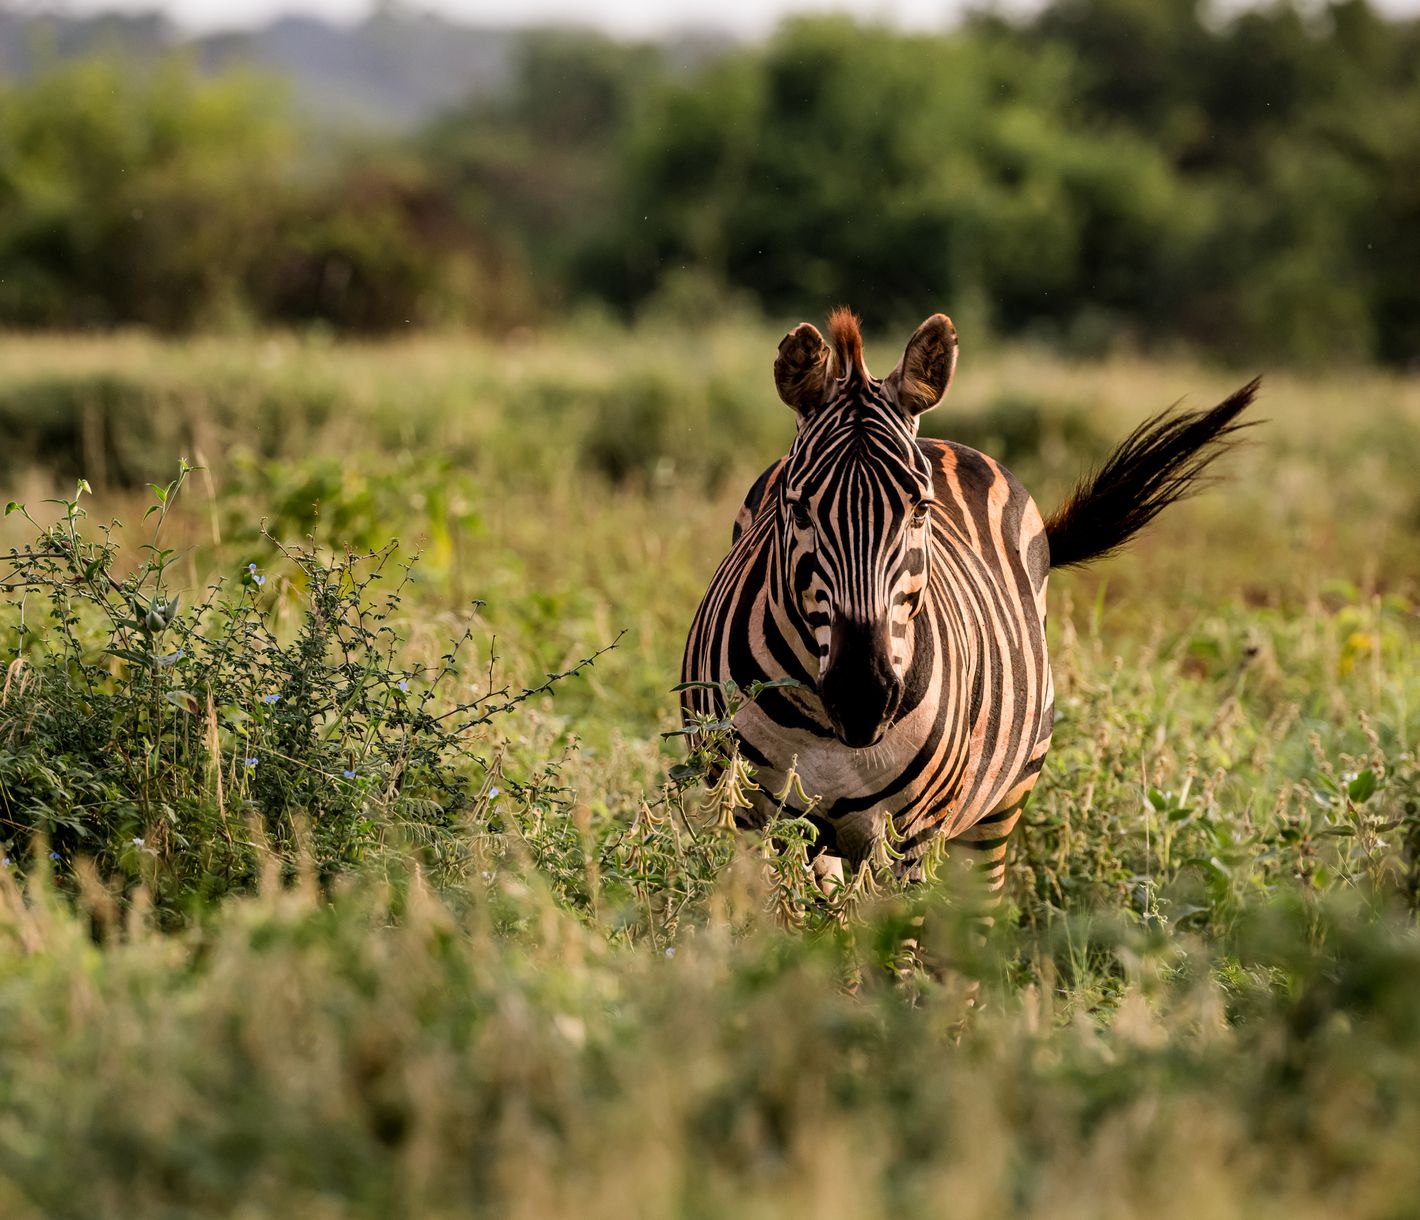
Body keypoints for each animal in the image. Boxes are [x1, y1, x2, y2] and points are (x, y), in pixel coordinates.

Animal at [681, 308, 1256, 901]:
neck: (825, 730)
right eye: (797, 510)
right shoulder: (758, 821)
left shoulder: (909, 836)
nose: (862, 698)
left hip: (1002, 802)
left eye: (920, 508)